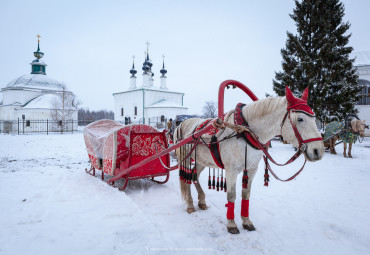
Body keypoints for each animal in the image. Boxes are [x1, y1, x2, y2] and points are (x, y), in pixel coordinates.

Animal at [173, 86, 324, 234]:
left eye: (314, 117)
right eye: (300, 119)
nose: (319, 151)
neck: (245, 132)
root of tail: (181, 124)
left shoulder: (251, 169)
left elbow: (246, 194)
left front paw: (246, 221)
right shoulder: (231, 170)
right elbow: (231, 195)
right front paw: (231, 224)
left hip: (201, 161)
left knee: (194, 176)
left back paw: (202, 201)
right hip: (185, 158)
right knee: (186, 179)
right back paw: (190, 204)